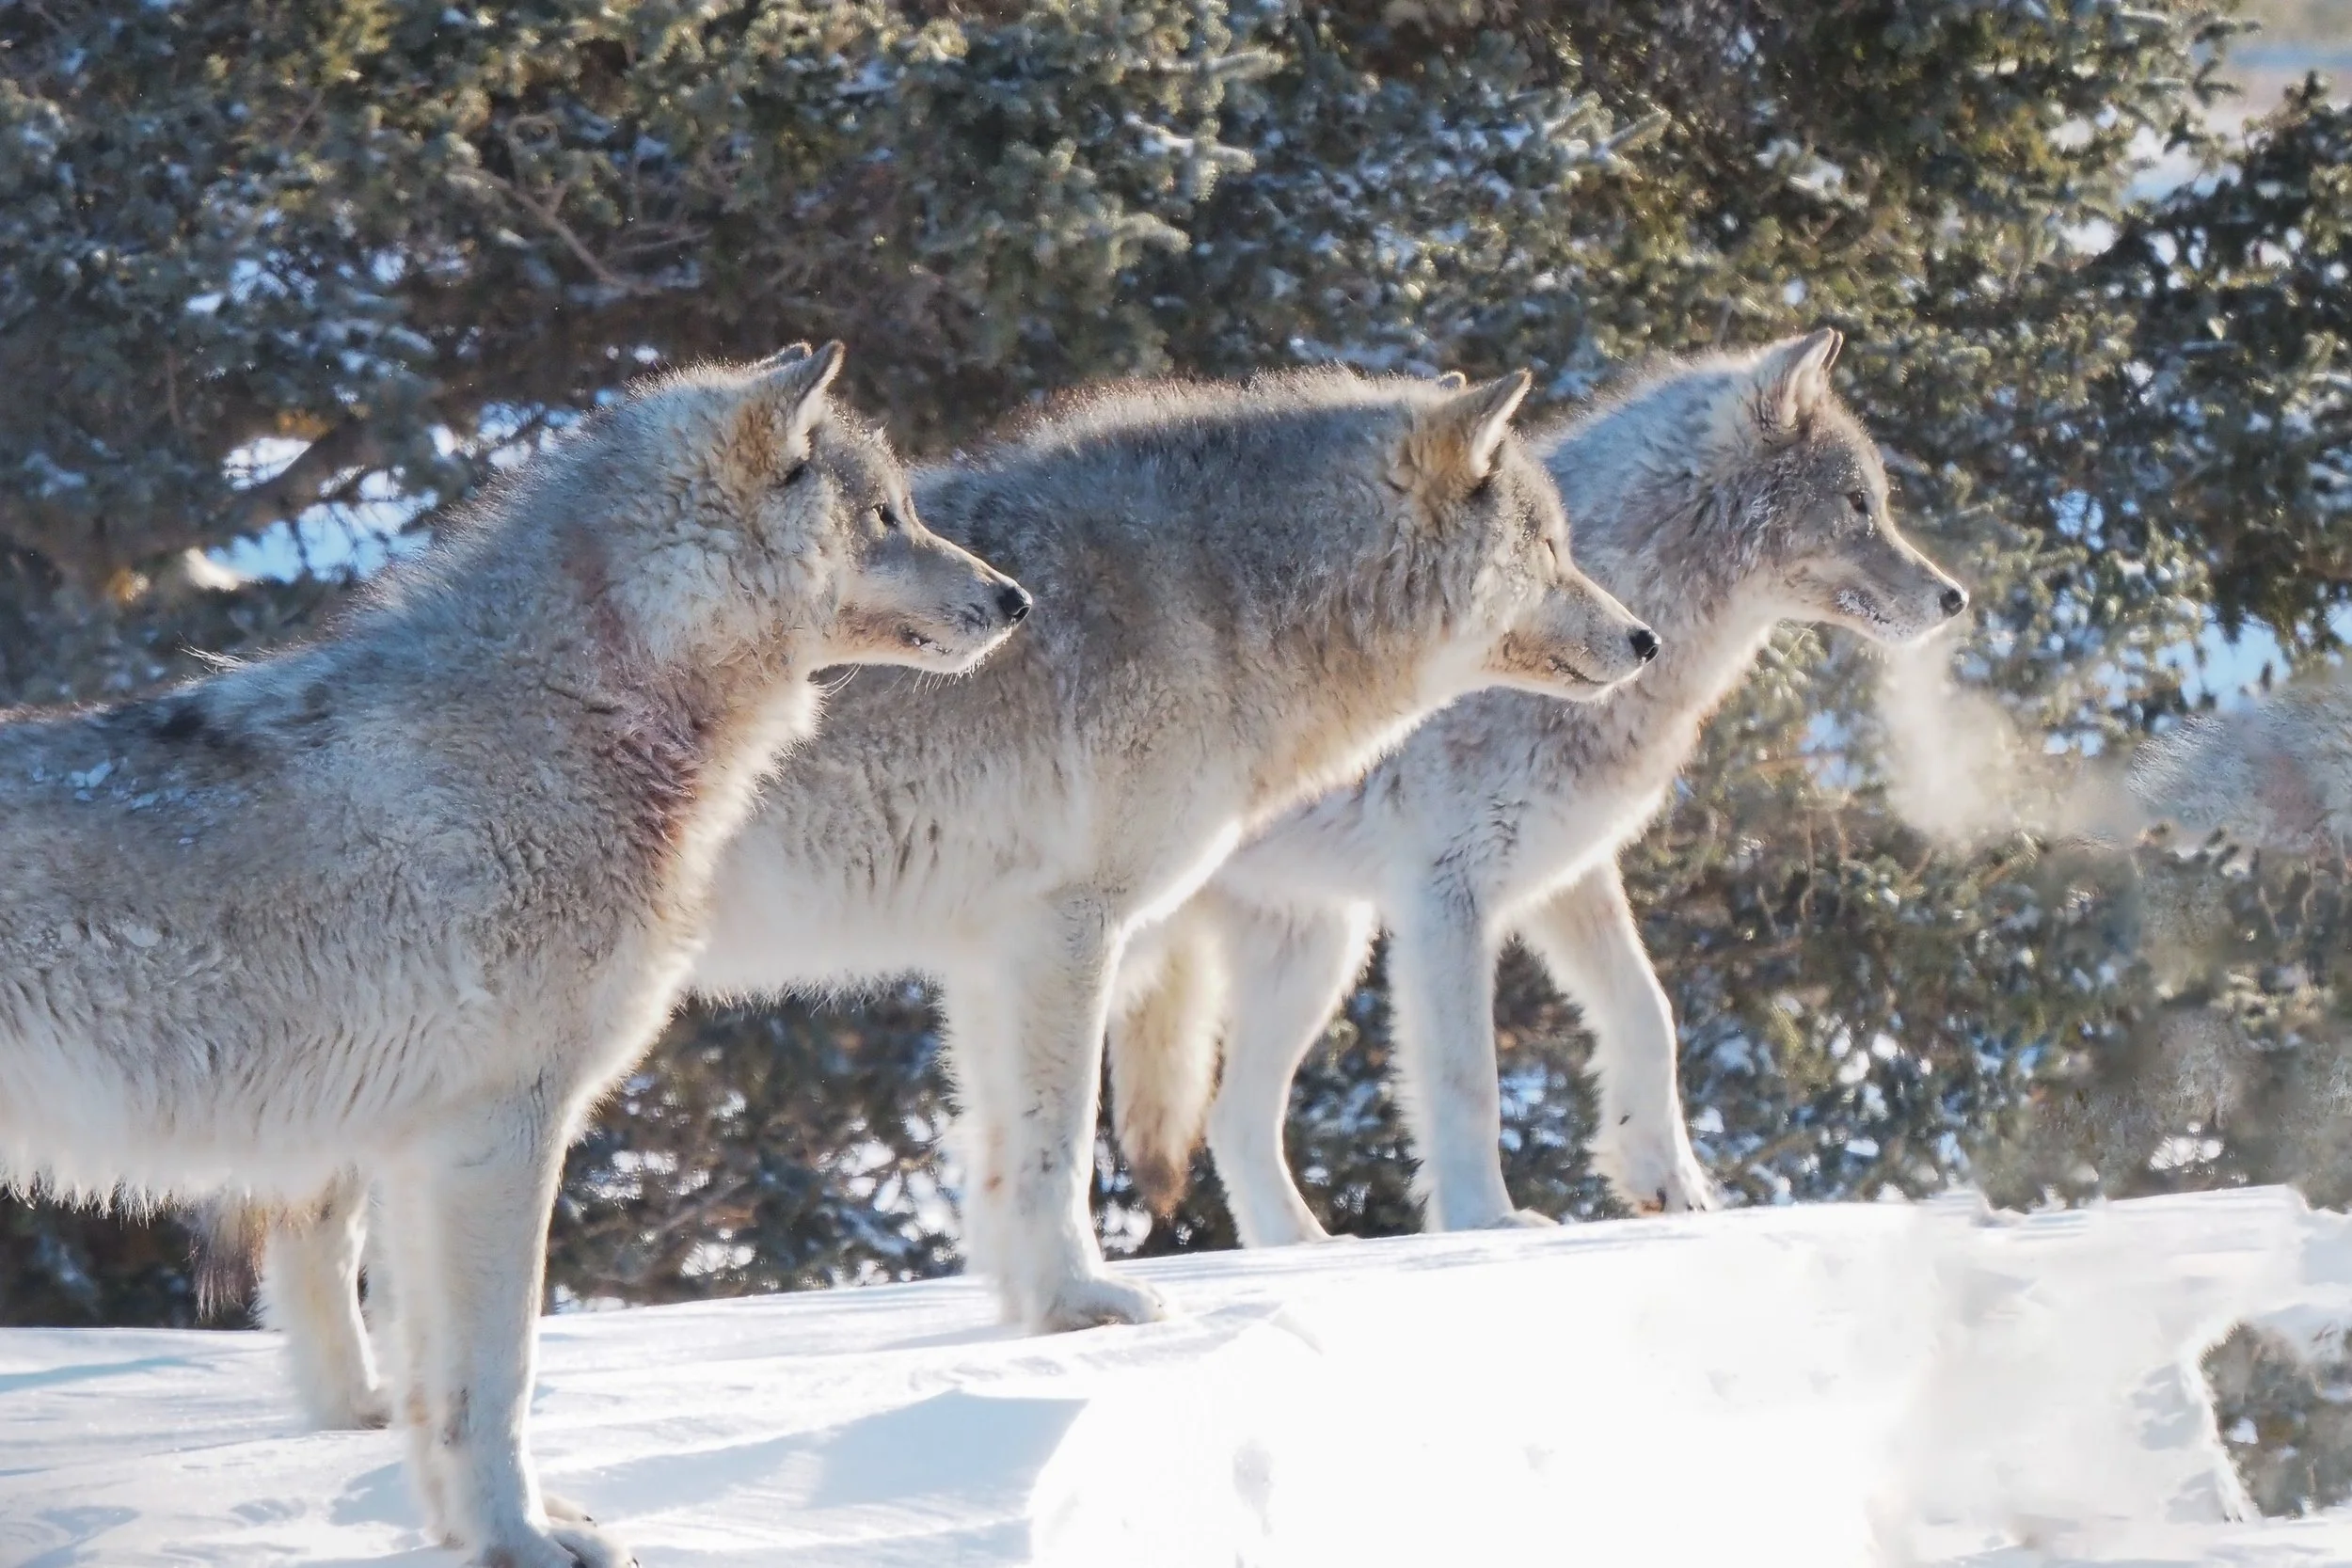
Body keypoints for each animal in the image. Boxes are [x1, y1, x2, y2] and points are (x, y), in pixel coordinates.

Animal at [0, 343, 1029, 1568]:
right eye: (888, 516)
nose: (1018, 598)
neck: (586, 709)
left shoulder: (416, 1154)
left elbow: (432, 1384)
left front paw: (477, 1532)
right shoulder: (499, 1135)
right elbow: (499, 1376)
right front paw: (519, 1539)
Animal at [1105, 331, 1972, 1244]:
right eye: (1858, 504)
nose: (1955, 596)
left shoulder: (1567, 873)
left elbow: (1650, 1013)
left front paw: (1670, 1182)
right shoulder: (1446, 896)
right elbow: (1468, 1082)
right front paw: (1486, 1221)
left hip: (1318, 954)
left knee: (1233, 1121)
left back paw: (1303, 1250)